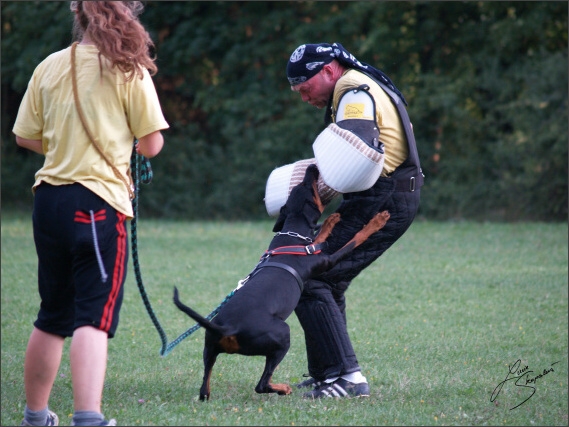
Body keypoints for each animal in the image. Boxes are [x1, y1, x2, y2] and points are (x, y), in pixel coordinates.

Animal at [171, 165, 388, 402]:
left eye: (300, 186)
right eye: (308, 187)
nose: (311, 167)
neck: (292, 236)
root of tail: (226, 328)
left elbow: (320, 234)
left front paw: (331, 220)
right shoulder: (327, 260)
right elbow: (354, 240)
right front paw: (377, 221)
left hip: (209, 350)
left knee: (204, 388)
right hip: (282, 336)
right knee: (262, 384)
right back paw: (283, 388)